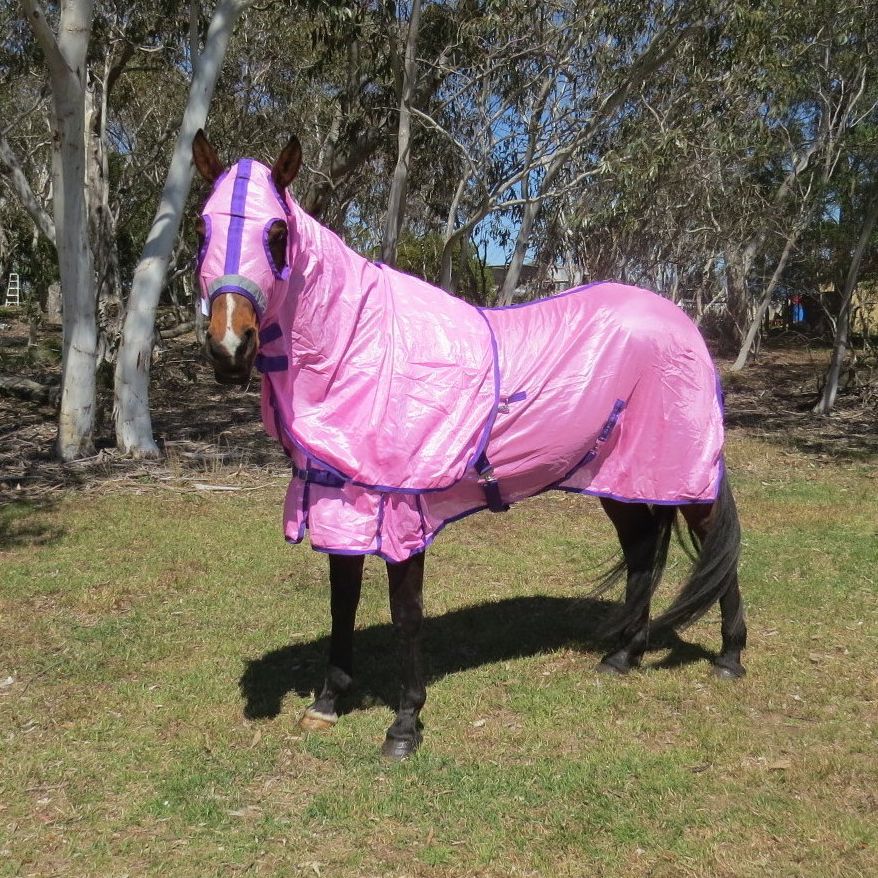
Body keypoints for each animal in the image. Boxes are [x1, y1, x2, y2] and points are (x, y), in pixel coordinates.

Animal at [192, 130, 747, 760]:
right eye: (203, 228)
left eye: (277, 233)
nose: (229, 348)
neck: (360, 345)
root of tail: (682, 322)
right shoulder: (339, 500)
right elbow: (342, 601)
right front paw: (329, 702)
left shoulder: (398, 508)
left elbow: (406, 615)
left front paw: (404, 725)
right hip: (621, 481)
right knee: (642, 554)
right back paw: (623, 656)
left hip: (685, 475)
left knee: (718, 550)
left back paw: (729, 657)